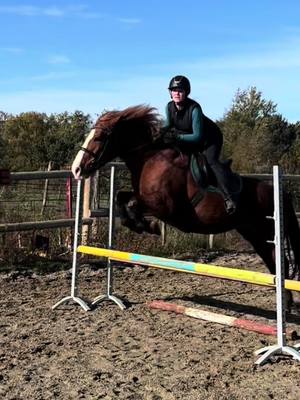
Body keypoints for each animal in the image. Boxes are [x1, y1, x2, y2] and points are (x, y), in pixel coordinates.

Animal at [72, 105, 300, 306]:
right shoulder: (145, 198)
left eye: (99, 138)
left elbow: (133, 204)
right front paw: (140, 225)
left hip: (264, 231)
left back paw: (286, 303)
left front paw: (151, 227)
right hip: (254, 233)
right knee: (274, 261)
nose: (76, 170)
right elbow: (121, 199)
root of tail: (278, 191)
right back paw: (285, 301)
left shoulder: (167, 208)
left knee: (280, 261)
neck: (150, 159)